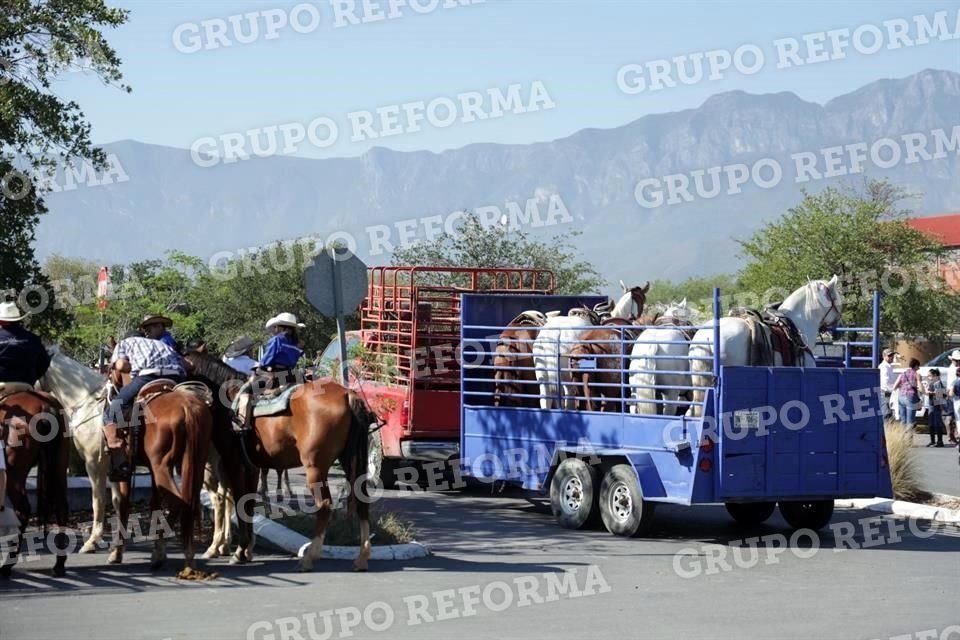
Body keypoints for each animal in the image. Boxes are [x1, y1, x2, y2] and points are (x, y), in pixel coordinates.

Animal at [0, 384, 69, 580]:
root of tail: (46, 406)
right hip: (59, 467)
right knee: (61, 507)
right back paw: (59, 563)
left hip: (14, 473)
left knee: (23, 510)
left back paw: (8, 564)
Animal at [182, 352, 376, 572]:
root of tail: (347, 395)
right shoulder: (252, 468)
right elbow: (248, 503)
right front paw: (247, 550)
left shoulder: (234, 462)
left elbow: (239, 502)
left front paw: (239, 551)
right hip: (351, 460)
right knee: (361, 503)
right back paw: (361, 558)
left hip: (315, 467)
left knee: (324, 505)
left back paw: (309, 558)